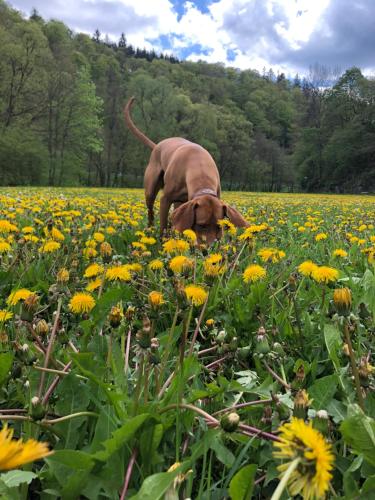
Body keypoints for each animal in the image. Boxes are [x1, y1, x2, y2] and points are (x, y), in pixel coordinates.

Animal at [124, 96, 250, 243]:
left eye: (219, 226)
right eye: (201, 225)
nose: (209, 247)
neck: (200, 167)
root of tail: (157, 145)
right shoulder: (165, 199)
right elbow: (163, 225)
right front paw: (163, 241)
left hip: (180, 203)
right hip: (151, 189)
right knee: (151, 212)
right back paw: (150, 231)